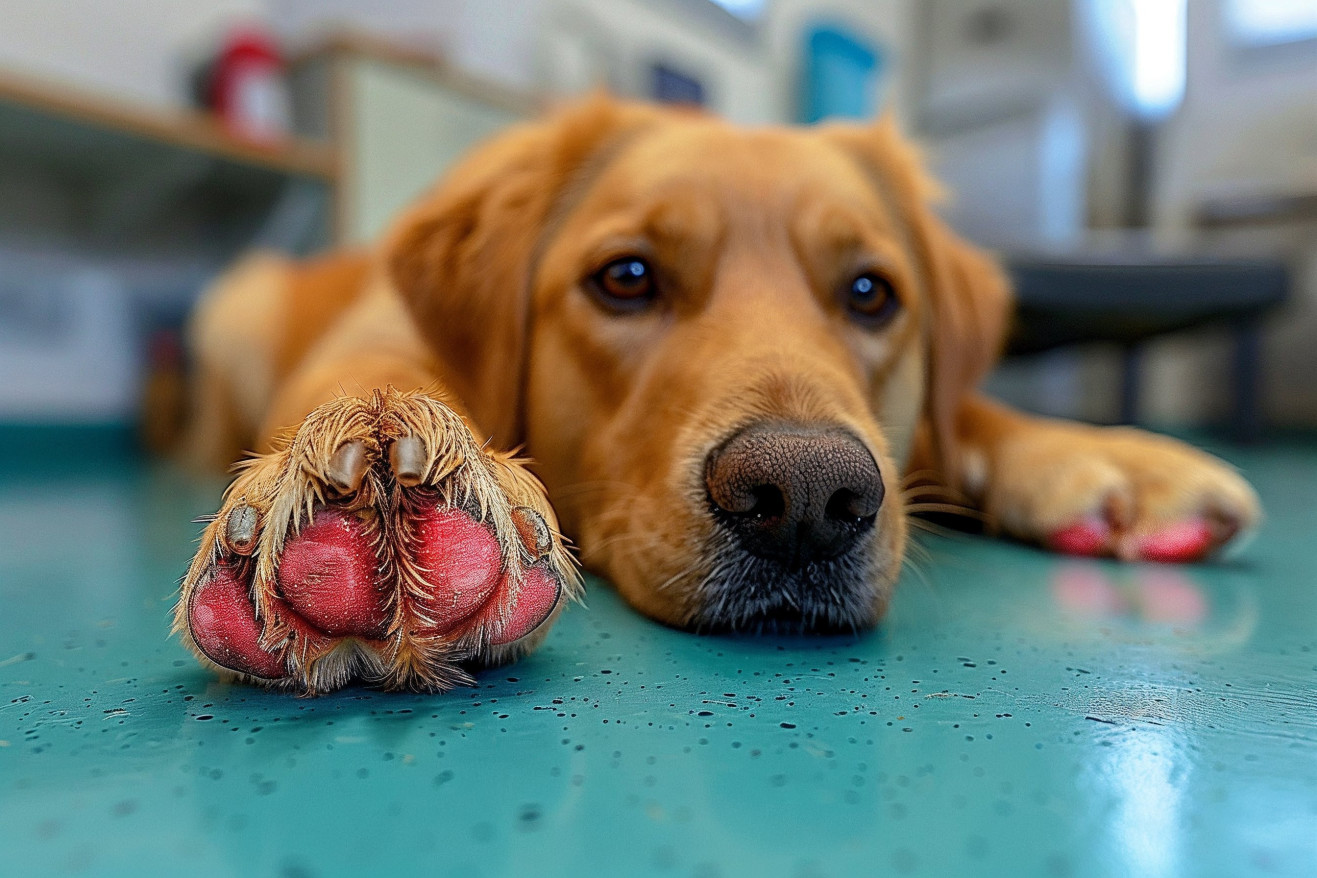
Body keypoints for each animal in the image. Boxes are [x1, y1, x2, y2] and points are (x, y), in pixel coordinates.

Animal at [172, 94, 1253, 695]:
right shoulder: (372, 339)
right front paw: (362, 497)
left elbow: (970, 417)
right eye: (626, 278)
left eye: (871, 293)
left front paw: (1103, 454)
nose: (808, 496)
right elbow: (371, 384)